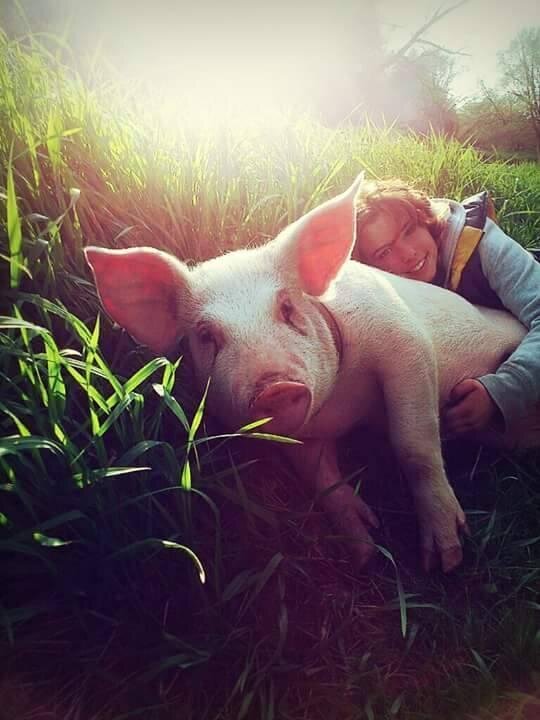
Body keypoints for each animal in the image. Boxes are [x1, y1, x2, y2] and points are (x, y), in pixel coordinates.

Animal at [85, 174, 529, 573]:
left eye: (287, 308)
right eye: (206, 335)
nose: (276, 387)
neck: (344, 406)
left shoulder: (405, 343)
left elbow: (414, 446)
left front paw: (446, 560)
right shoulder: (301, 435)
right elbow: (321, 480)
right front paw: (364, 553)